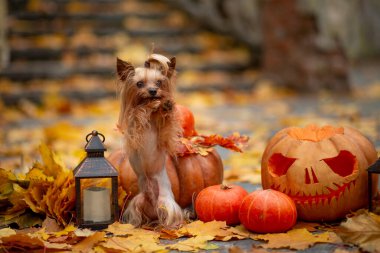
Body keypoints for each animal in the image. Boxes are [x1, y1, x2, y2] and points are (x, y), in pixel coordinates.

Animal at [116, 53, 184, 227]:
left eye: (159, 82)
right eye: (139, 84)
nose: (153, 91)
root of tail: (153, 207)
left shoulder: (164, 134)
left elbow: (166, 122)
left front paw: (165, 105)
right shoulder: (133, 127)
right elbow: (138, 111)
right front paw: (149, 106)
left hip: (166, 204)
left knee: (168, 216)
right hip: (135, 204)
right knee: (137, 217)